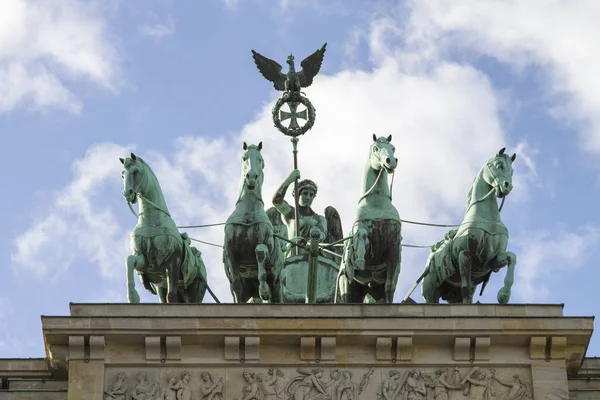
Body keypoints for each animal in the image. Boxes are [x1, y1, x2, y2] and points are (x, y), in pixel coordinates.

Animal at [224, 142, 284, 302]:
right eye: (244, 158)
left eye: (261, 159)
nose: (251, 176)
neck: (248, 213)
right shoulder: (230, 252)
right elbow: (236, 285)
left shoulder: (265, 244)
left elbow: (260, 253)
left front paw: (263, 289)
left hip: (276, 283)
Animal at [338, 134, 404, 304]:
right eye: (375, 148)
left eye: (393, 148)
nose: (390, 161)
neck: (377, 204)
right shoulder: (360, 229)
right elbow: (361, 235)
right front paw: (360, 260)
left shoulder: (394, 247)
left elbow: (389, 287)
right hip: (346, 283)